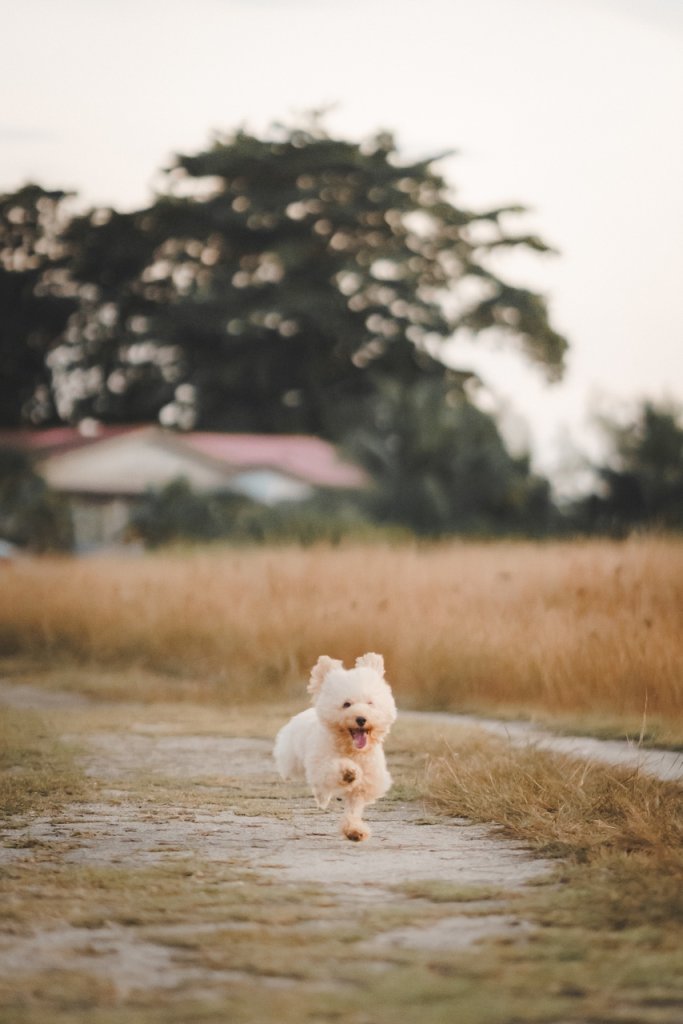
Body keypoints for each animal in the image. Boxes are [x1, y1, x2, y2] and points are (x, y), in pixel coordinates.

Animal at [274, 651, 397, 843]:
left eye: (370, 703)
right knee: (315, 783)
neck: (351, 749)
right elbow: (335, 768)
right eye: (346, 704)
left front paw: (354, 830)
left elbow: (354, 808)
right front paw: (348, 771)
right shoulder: (323, 763)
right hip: (293, 759)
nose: (361, 719)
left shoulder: (365, 783)